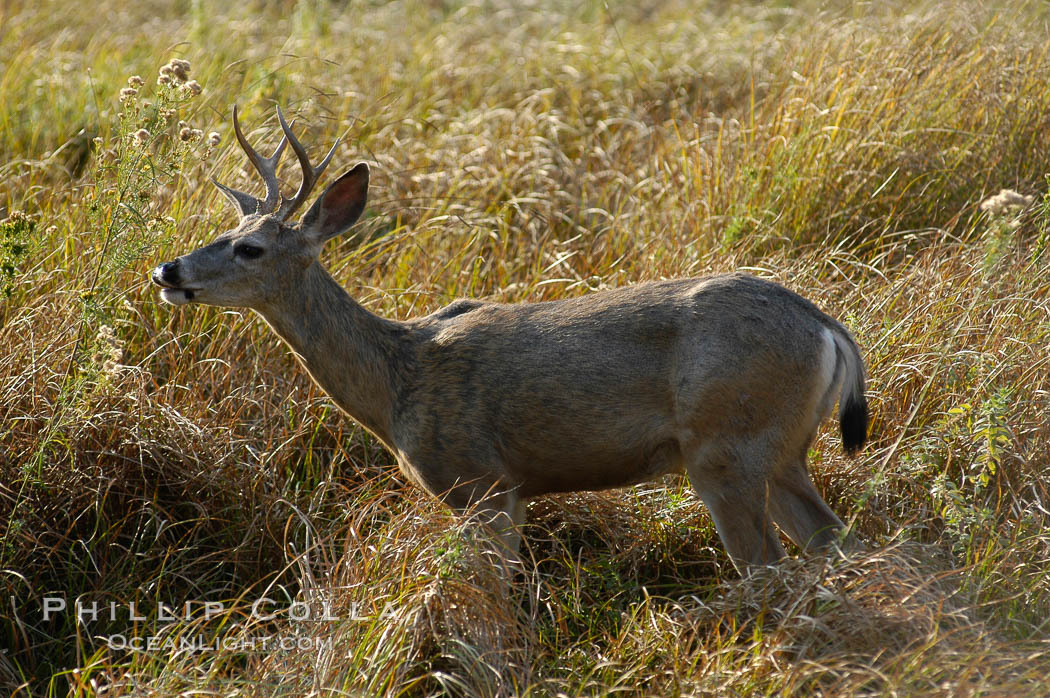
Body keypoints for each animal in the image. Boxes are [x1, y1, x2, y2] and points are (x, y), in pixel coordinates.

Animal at [150, 103, 869, 570]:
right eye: (224, 231)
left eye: (249, 248)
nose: (168, 270)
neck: (396, 382)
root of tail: (826, 327)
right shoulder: (512, 492)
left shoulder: (482, 483)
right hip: (782, 450)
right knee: (837, 540)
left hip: (727, 441)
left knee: (769, 567)